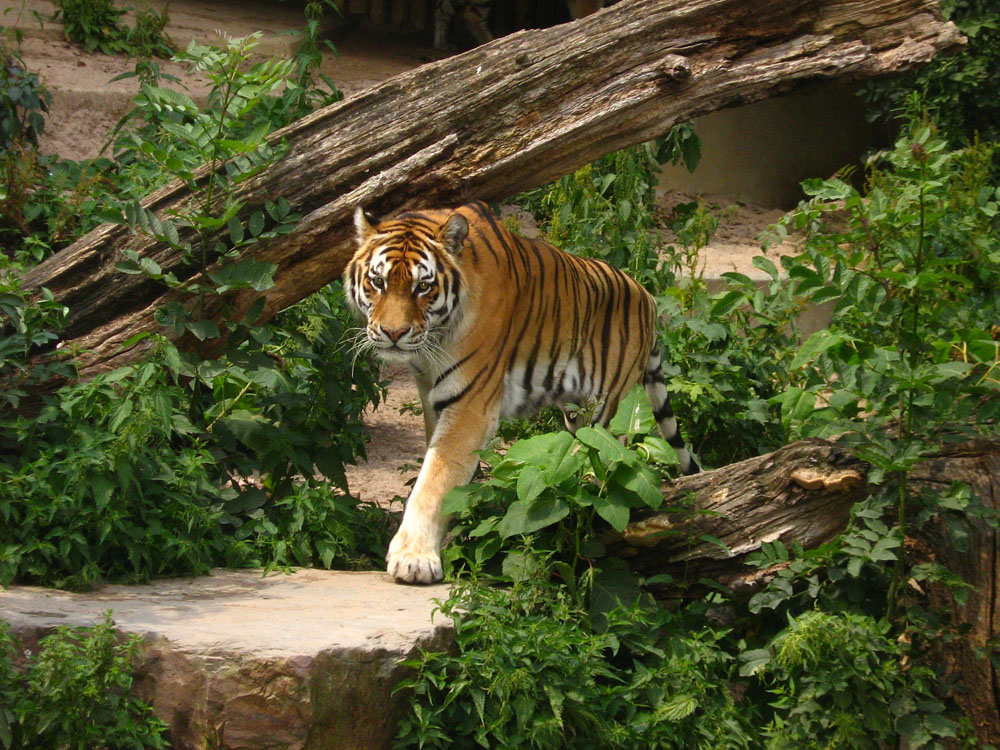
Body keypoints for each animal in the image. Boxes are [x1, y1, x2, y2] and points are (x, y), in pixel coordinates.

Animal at [348, 201, 700, 588]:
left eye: (423, 286)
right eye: (378, 281)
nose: (393, 333)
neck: (433, 340)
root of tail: (648, 296)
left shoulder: (470, 403)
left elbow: (435, 480)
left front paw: (414, 559)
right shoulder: (432, 398)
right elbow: (447, 476)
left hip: (608, 410)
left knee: (606, 464)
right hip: (577, 414)